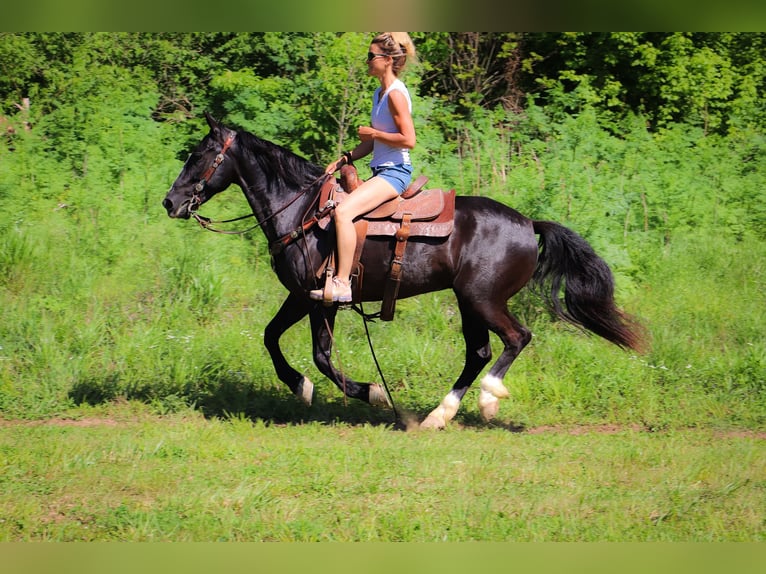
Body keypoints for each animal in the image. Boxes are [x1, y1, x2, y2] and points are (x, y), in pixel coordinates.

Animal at [164, 112, 648, 430]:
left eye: (199, 155)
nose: (171, 202)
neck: (301, 212)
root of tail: (530, 223)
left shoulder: (321, 299)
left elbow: (321, 356)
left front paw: (371, 393)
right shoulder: (301, 296)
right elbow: (271, 337)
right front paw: (299, 386)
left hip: (483, 299)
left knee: (517, 338)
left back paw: (488, 399)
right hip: (469, 302)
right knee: (479, 352)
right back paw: (439, 415)